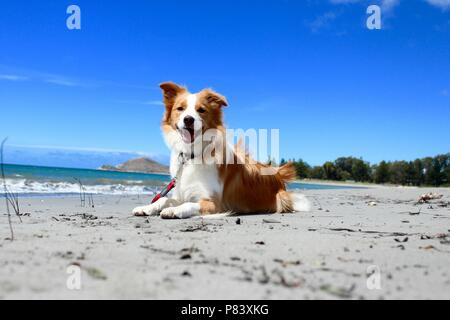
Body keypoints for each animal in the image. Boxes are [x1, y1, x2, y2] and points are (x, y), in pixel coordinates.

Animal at [132, 81, 312, 219]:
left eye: (201, 110)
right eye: (180, 109)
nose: (188, 119)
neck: (193, 154)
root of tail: (278, 174)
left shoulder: (214, 203)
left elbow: (189, 204)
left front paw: (173, 210)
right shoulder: (182, 192)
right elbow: (164, 200)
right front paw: (147, 208)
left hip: (281, 198)